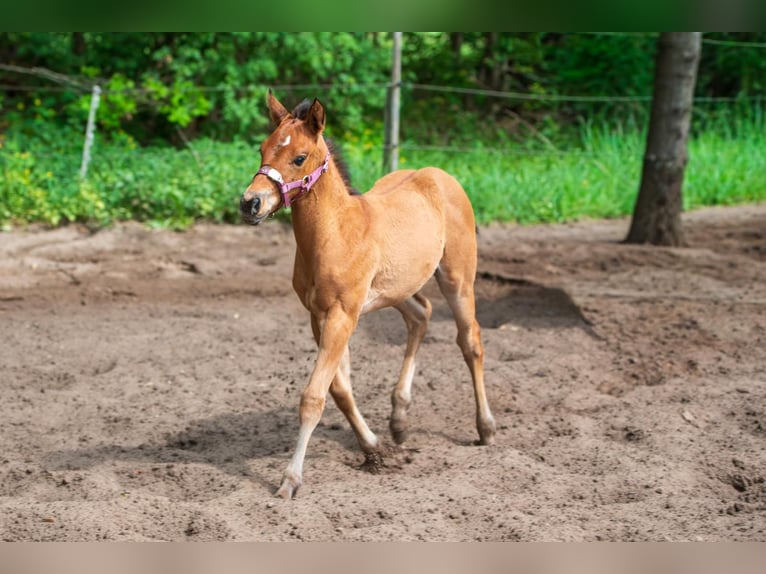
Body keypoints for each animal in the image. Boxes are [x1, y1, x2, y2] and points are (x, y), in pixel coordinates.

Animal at [240, 91, 496, 499]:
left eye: (299, 157)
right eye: (262, 149)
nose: (250, 203)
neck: (336, 234)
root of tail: (441, 175)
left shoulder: (343, 314)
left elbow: (314, 396)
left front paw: (290, 480)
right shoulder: (320, 315)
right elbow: (339, 389)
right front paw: (373, 446)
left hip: (457, 279)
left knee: (470, 341)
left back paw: (485, 428)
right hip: (396, 288)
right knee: (421, 315)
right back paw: (399, 419)